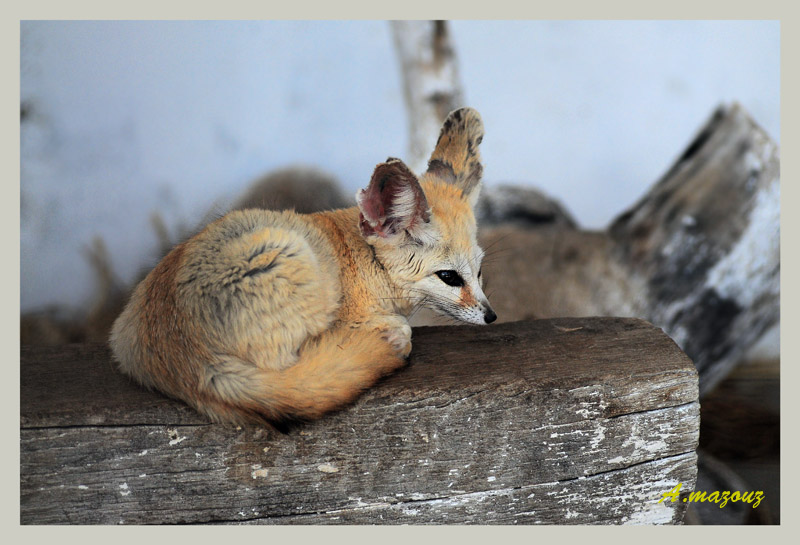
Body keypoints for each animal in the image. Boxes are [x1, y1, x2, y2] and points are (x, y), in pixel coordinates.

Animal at [108, 106, 494, 428]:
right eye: (448, 277)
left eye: (478, 272)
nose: (491, 316)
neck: (364, 262)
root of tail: (188, 359)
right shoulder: (352, 314)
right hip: (290, 257)